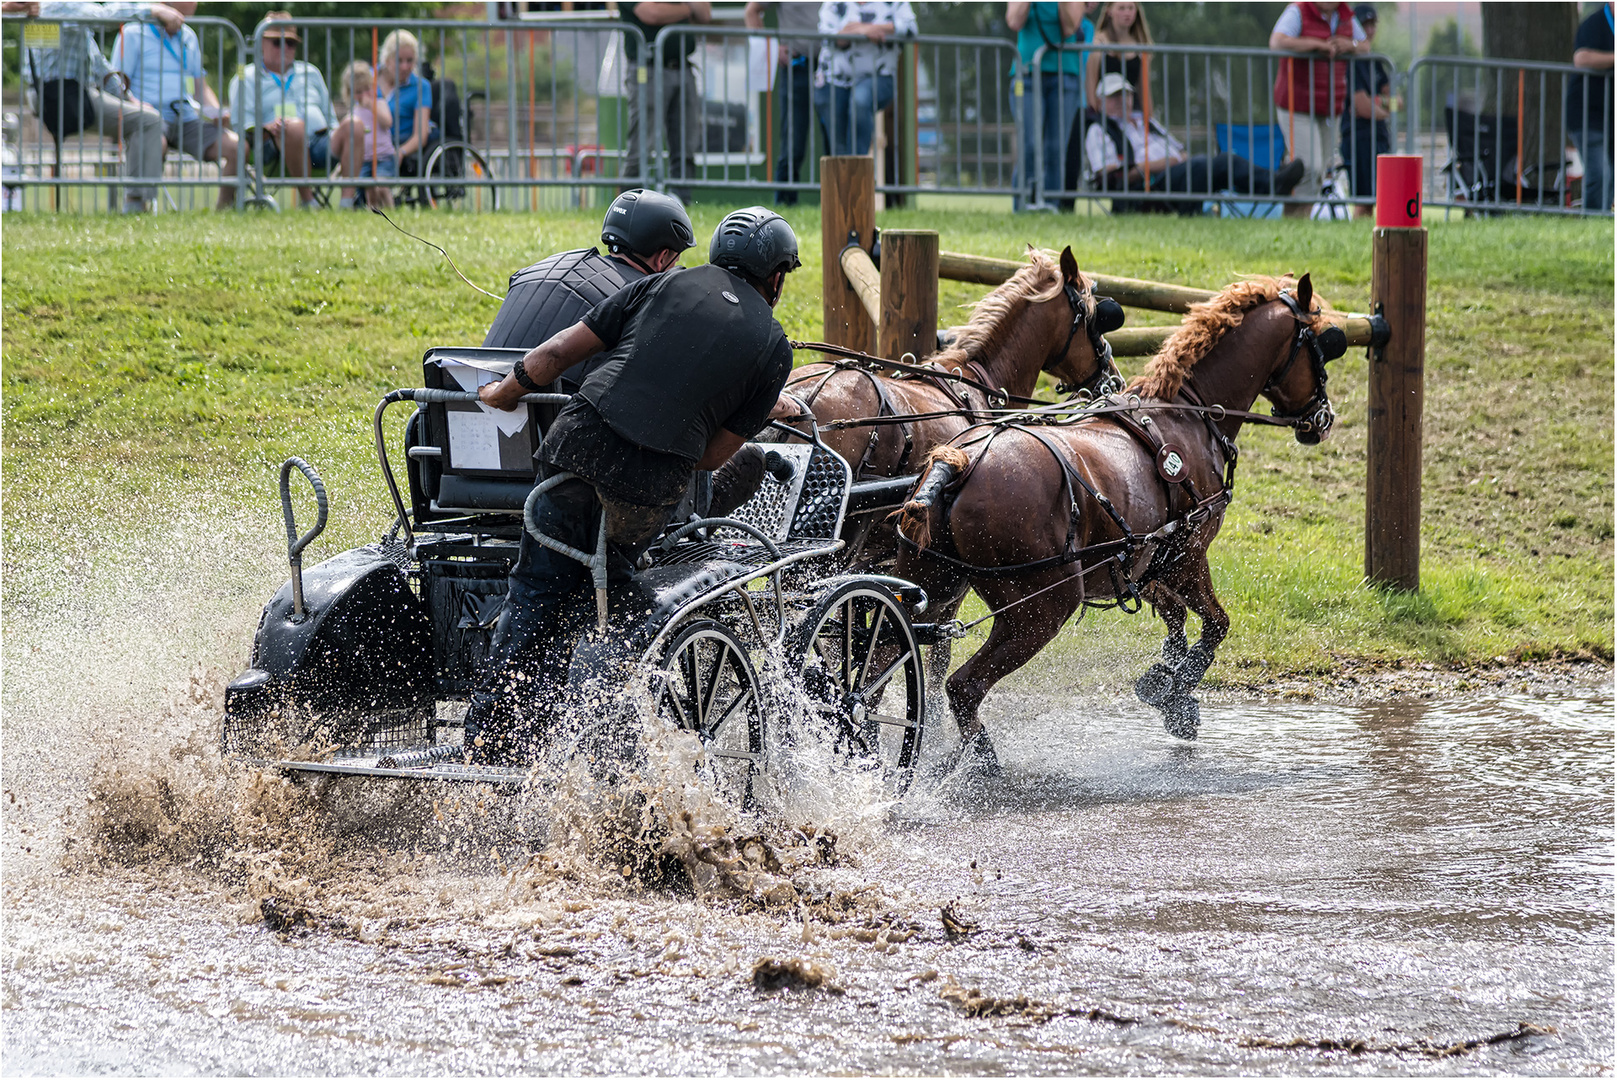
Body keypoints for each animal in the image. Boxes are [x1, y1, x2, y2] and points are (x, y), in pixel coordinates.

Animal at [892, 278, 1345, 766]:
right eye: (1323, 344)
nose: (1323, 417)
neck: (1186, 415)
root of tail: (956, 462)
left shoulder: (1147, 561)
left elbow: (1176, 620)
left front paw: (1173, 691)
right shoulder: (1187, 555)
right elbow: (1216, 624)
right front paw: (1174, 687)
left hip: (927, 588)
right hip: (1040, 609)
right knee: (964, 686)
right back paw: (981, 767)